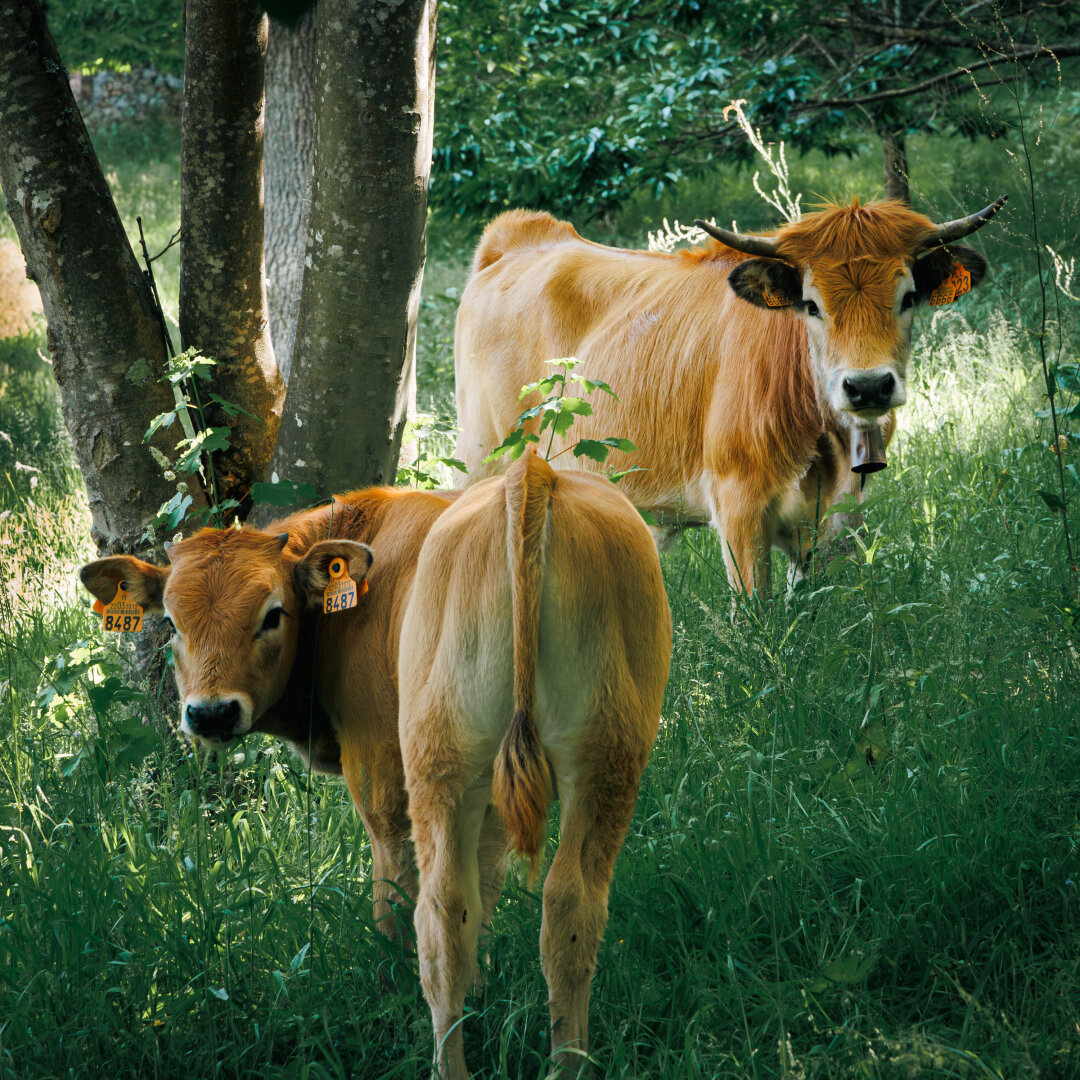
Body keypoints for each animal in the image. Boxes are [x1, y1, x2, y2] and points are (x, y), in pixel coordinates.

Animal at [79, 451, 672, 1080]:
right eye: (171, 621)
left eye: (273, 614)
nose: (211, 712)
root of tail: (532, 474)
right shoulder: (488, 807)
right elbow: (485, 889)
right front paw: (483, 994)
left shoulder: (380, 775)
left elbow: (394, 896)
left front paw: (395, 992)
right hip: (605, 764)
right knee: (568, 909)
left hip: (439, 768)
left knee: (440, 916)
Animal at [454, 197, 1006, 595]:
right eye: (810, 305)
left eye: (908, 296)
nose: (868, 385)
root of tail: (522, 238)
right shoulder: (739, 504)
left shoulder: (839, 520)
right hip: (484, 459)